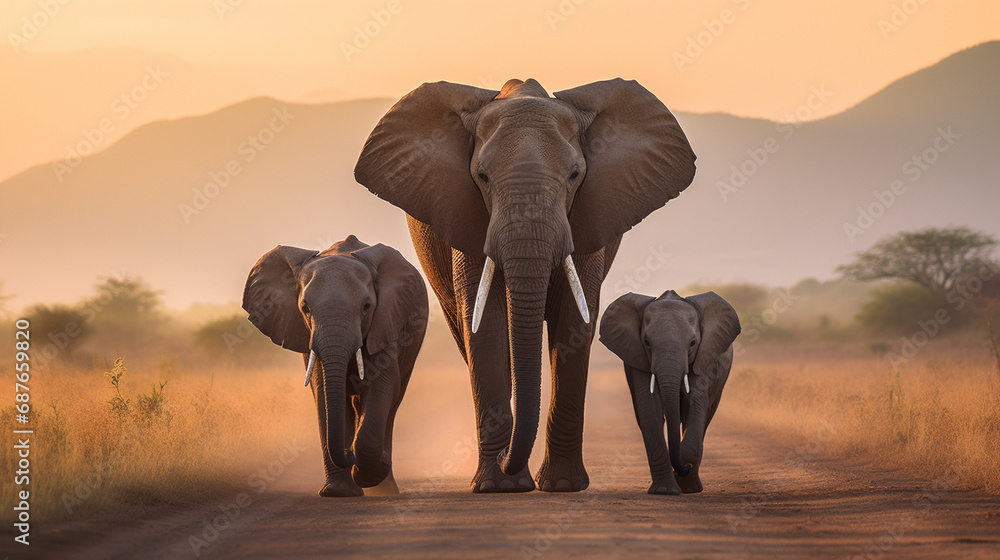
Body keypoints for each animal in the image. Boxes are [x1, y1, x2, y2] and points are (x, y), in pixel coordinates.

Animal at [242, 235, 428, 497]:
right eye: (305, 308)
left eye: (366, 307)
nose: (349, 454)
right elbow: (322, 391)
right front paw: (338, 492)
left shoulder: (385, 322)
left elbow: (382, 384)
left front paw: (373, 469)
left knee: (392, 404)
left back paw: (385, 488)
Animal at [354, 78, 696, 493]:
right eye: (482, 177)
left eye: (575, 175)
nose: (507, 461)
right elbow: (484, 324)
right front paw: (498, 486)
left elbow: (574, 322)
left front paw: (562, 486)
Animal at [599, 290, 741, 495]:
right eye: (647, 342)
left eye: (693, 343)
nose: (685, 467)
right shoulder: (637, 358)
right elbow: (650, 409)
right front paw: (664, 490)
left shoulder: (704, 356)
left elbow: (696, 405)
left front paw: (688, 485)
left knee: (704, 415)